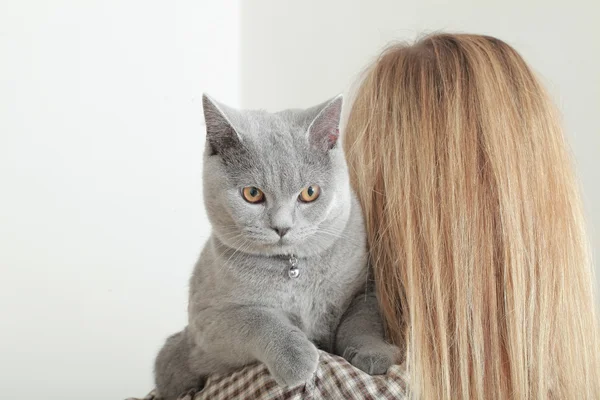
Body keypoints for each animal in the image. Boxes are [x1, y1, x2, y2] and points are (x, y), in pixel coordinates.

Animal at [155, 94, 398, 400]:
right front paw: (297, 359)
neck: (294, 269)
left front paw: (374, 354)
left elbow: (362, 321)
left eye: (309, 192)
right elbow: (258, 318)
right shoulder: (208, 323)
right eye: (252, 193)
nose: (282, 227)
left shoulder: (365, 288)